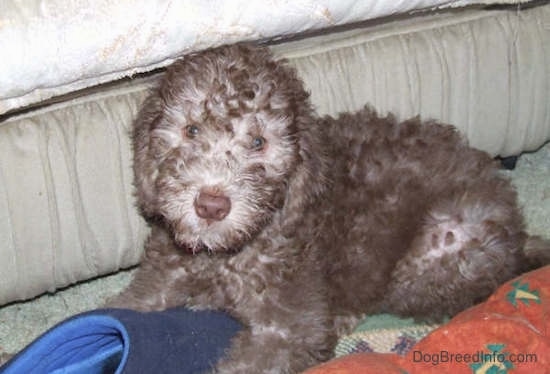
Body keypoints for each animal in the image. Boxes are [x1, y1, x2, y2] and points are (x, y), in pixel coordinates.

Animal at [110, 43, 548, 372]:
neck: (227, 255)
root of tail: (518, 230)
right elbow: (129, 305)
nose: (212, 205)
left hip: (442, 244)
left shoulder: (288, 329)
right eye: (191, 130)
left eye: (259, 143)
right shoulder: (165, 269)